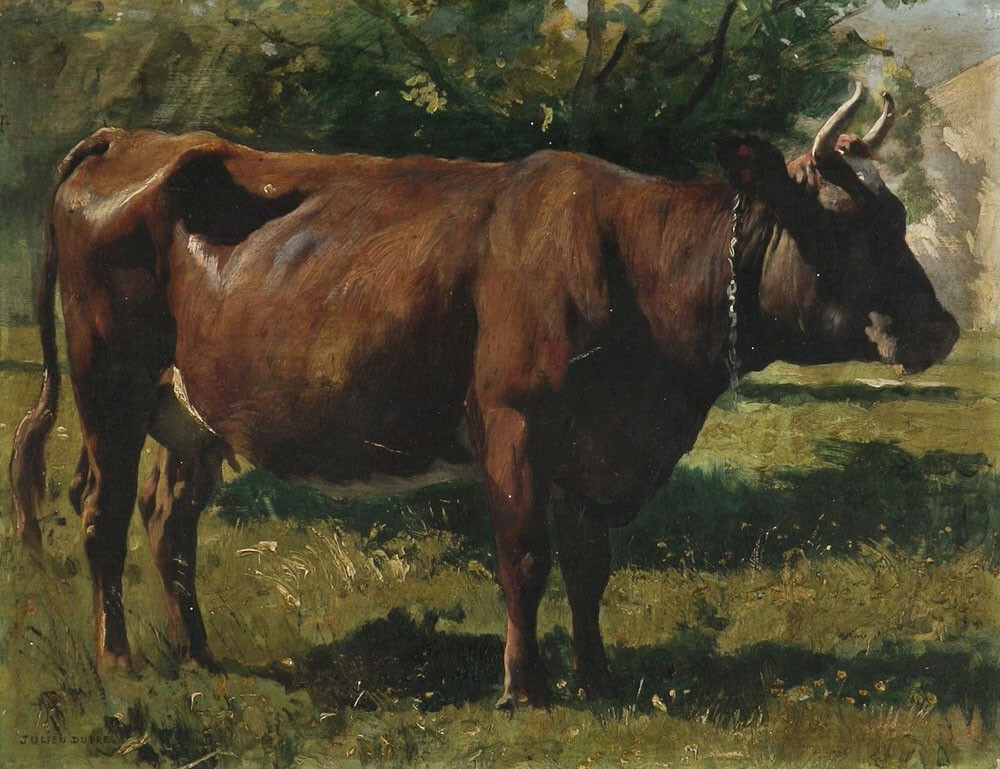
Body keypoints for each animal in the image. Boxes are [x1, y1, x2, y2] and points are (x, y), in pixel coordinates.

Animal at [10, 83, 957, 708]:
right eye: (845, 224)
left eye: (900, 217)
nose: (940, 329)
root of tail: (134, 139)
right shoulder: (517, 425)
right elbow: (525, 559)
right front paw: (526, 688)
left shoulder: (592, 450)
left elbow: (589, 567)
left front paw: (600, 678)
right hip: (108, 381)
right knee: (100, 512)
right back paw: (119, 660)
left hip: (192, 412)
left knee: (167, 518)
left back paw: (198, 655)